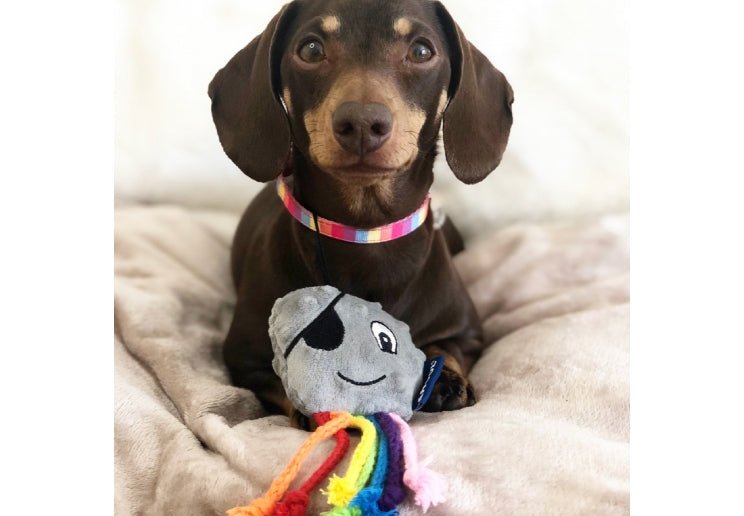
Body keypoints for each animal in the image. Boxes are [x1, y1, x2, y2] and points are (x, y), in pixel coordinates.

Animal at [208, 0, 513, 429]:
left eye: (422, 51)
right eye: (311, 49)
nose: (363, 123)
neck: (365, 232)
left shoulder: (467, 332)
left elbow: (446, 347)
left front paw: (443, 381)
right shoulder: (243, 361)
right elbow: (279, 379)